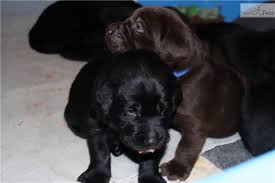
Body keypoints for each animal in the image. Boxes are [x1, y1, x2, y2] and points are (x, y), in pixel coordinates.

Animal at [63, 49, 182, 183]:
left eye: (163, 109)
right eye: (130, 112)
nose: (152, 140)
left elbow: (150, 158)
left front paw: (150, 177)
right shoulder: (97, 126)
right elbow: (100, 153)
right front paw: (96, 175)